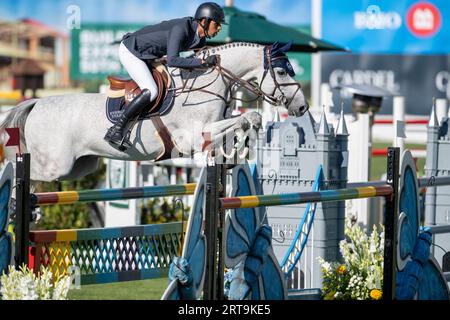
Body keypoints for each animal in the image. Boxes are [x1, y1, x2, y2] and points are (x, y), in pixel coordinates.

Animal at [0, 42, 310, 181]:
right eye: (282, 71)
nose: (302, 106)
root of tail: (35, 104)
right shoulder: (190, 138)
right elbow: (248, 117)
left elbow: (246, 120)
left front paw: (235, 153)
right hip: (55, 165)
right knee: (16, 170)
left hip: (77, 168)